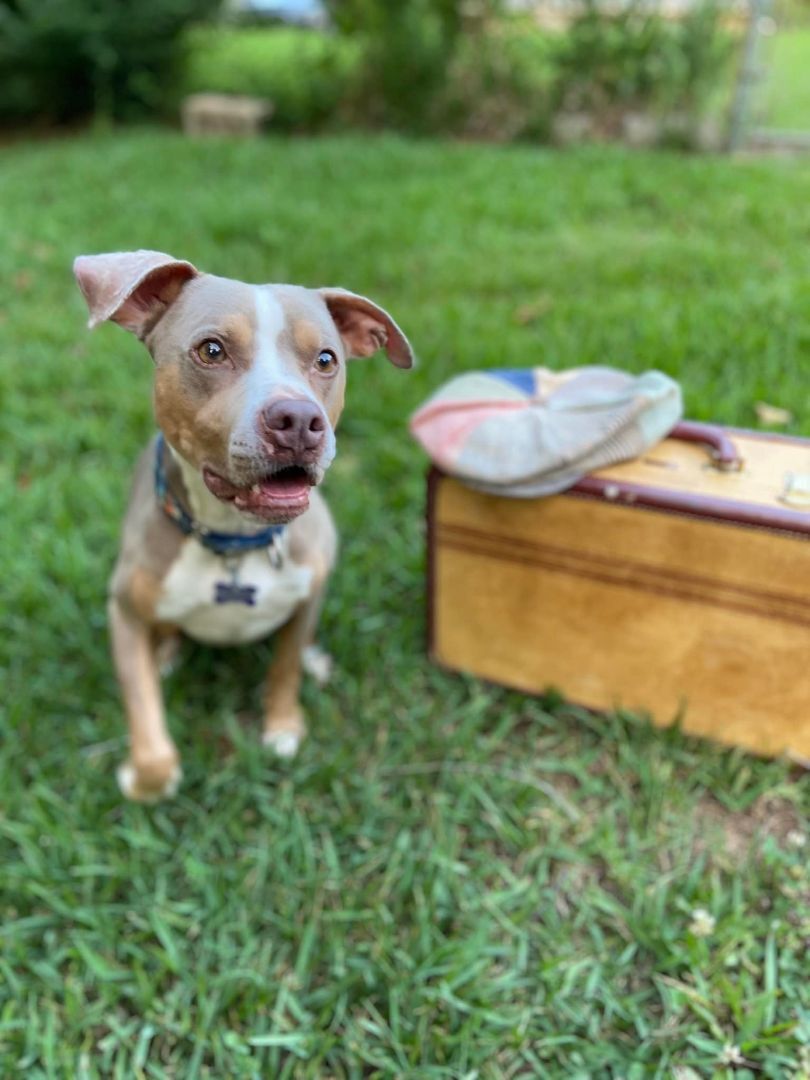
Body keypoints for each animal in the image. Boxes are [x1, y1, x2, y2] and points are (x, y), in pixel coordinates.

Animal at [73, 248, 414, 799]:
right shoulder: (122, 610)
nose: (298, 421)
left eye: (326, 360)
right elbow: (141, 703)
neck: (233, 537)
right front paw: (146, 777)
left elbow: (285, 666)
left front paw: (283, 727)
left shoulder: (308, 592)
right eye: (211, 350)